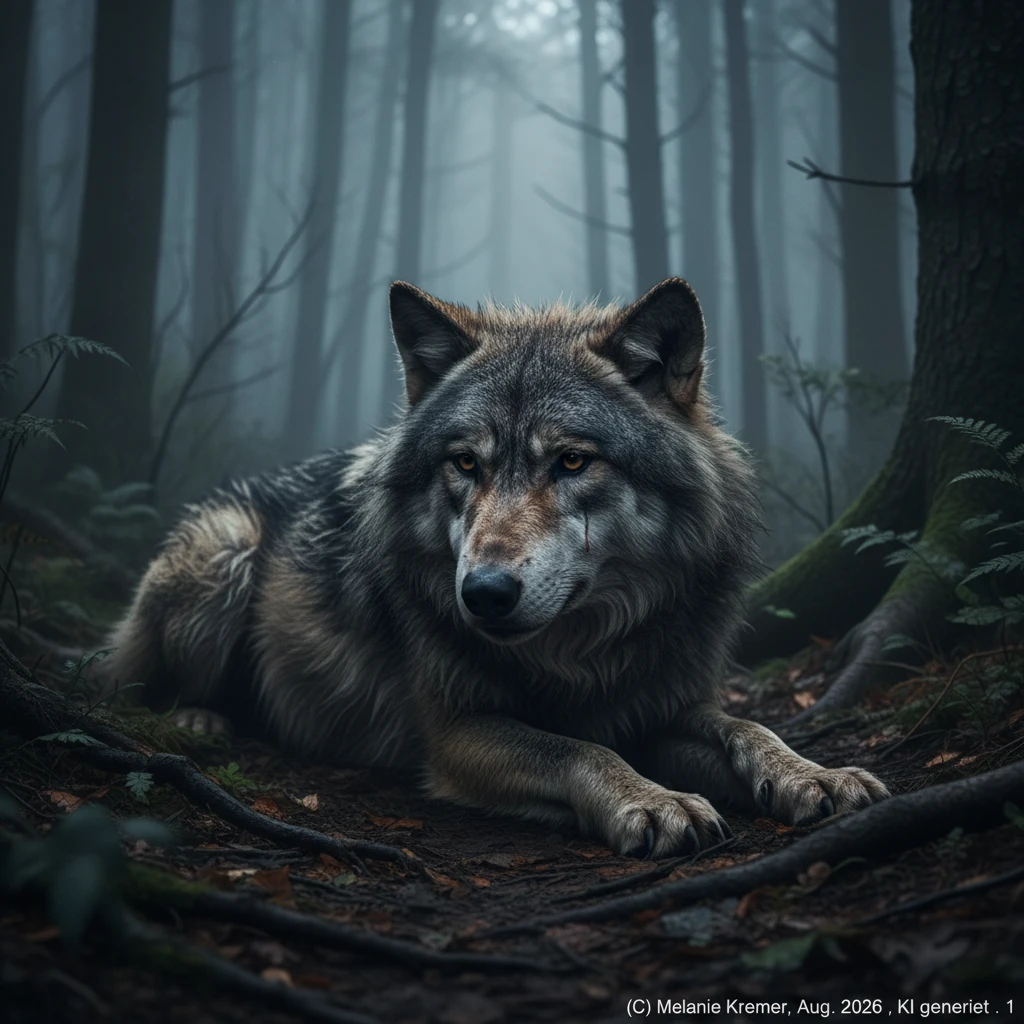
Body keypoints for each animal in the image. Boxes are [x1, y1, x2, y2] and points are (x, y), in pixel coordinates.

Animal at [105, 278, 889, 856]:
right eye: (465, 464)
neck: (578, 656)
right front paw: (653, 799)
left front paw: (815, 774)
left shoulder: (655, 705)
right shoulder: (457, 733)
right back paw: (202, 718)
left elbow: (748, 727)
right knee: (138, 687)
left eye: (571, 461)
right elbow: (576, 751)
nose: (482, 593)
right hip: (224, 552)